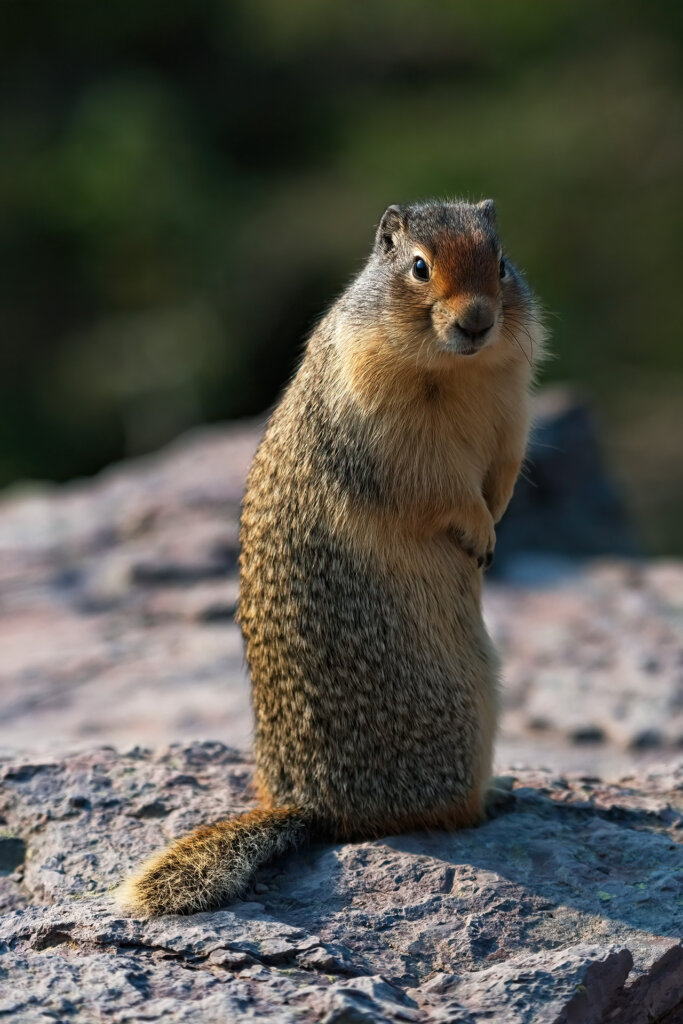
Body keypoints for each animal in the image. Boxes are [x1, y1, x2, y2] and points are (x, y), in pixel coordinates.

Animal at [117, 197, 544, 913]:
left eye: (504, 261)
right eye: (419, 266)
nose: (479, 320)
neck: (455, 371)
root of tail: (309, 805)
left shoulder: (512, 412)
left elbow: (506, 470)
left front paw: (497, 524)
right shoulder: (396, 436)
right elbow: (441, 489)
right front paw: (478, 533)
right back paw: (497, 796)